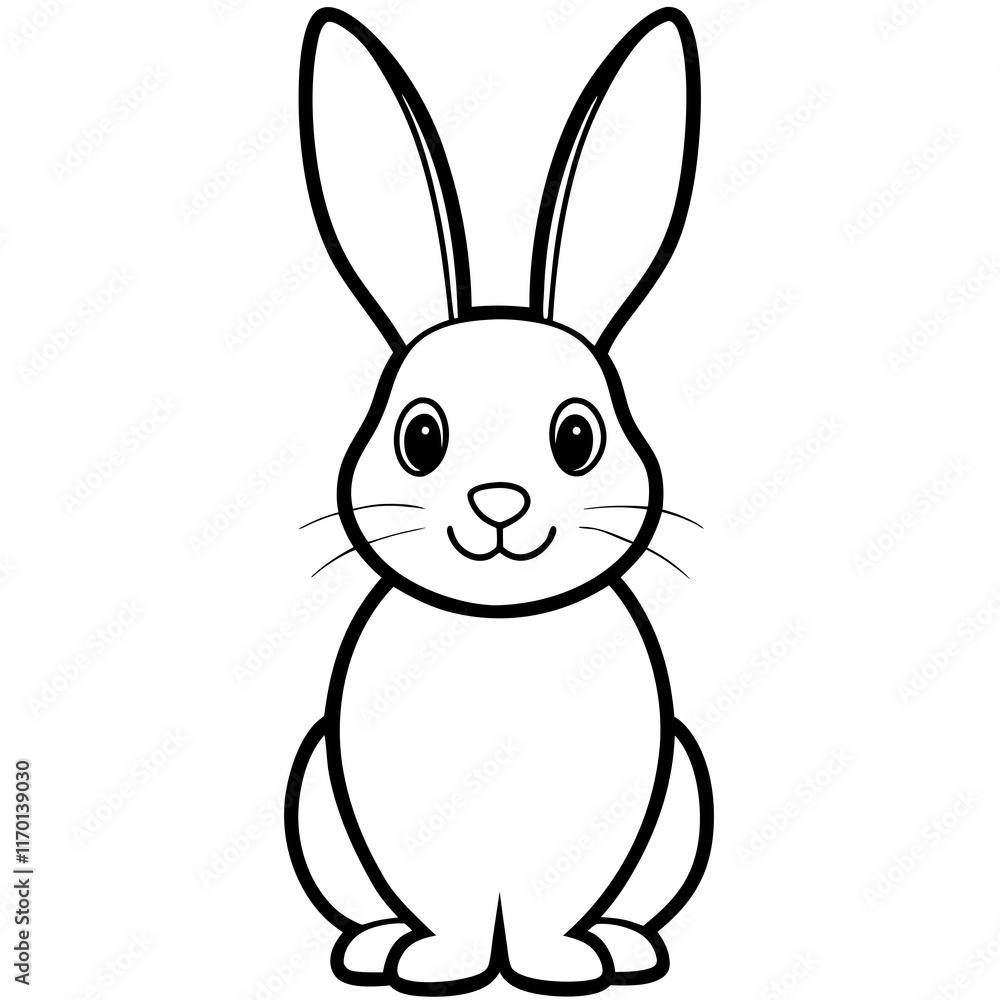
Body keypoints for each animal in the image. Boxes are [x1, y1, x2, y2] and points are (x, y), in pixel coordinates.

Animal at [285, 6, 713, 995]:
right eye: (421, 438)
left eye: (577, 438)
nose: (499, 501)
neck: (501, 622)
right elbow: (444, 912)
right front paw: (437, 966)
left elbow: (555, 907)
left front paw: (561, 966)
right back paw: (373, 948)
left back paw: (627, 946)